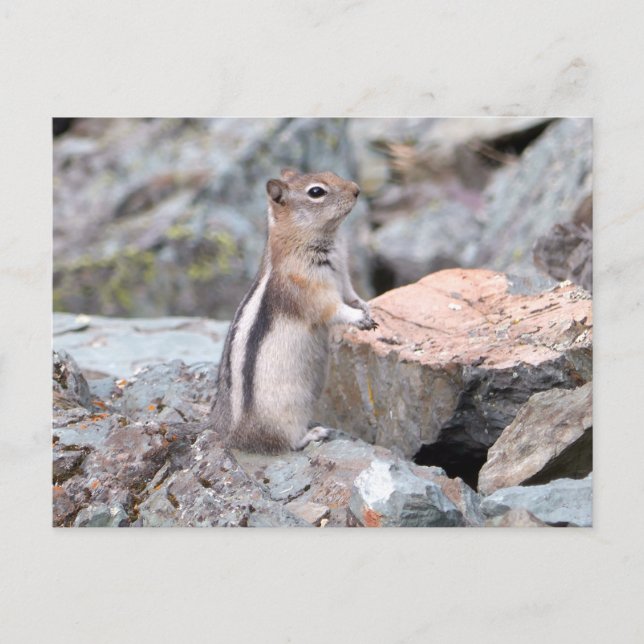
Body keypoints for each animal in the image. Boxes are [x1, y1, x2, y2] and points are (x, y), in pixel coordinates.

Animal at [212, 168, 378, 454]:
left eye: (331, 172)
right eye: (316, 192)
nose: (357, 189)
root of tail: (234, 438)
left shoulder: (343, 276)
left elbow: (352, 296)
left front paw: (367, 308)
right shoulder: (311, 291)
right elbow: (334, 309)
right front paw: (358, 318)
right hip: (288, 410)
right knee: (286, 441)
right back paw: (314, 434)